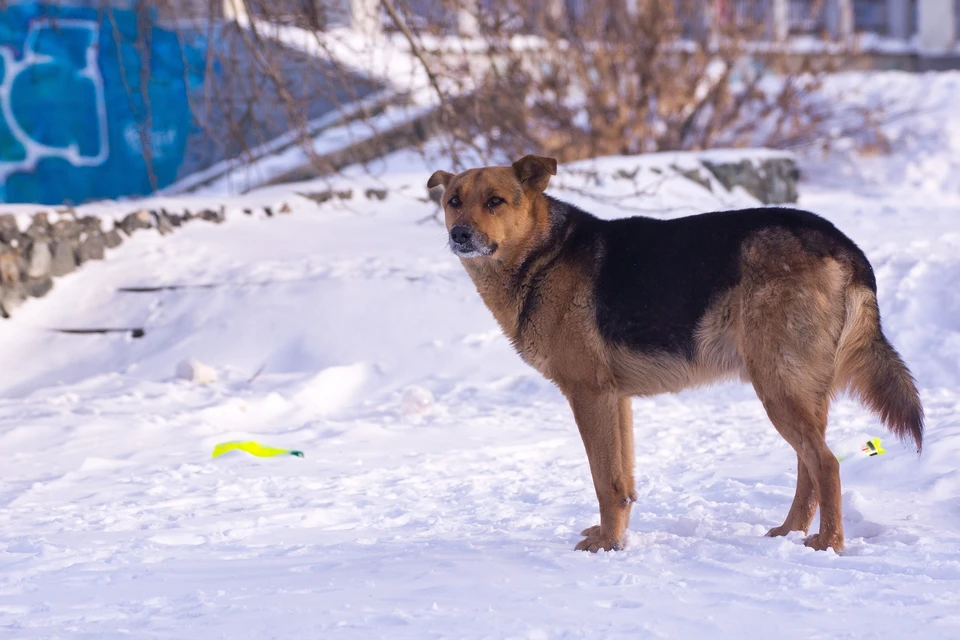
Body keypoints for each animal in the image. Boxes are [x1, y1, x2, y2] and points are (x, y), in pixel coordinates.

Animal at [430, 155, 924, 556]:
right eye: (454, 201)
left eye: (495, 201)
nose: (459, 234)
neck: (542, 255)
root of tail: (843, 244)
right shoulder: (616, 400)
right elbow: (623, 483)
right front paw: (615, 536)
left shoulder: (589, 395)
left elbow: (604, 481)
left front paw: (609, 545)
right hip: (795, 388)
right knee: (810, 466)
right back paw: (789, 532)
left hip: (777, 385)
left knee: (826, 464)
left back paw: (828, 543)